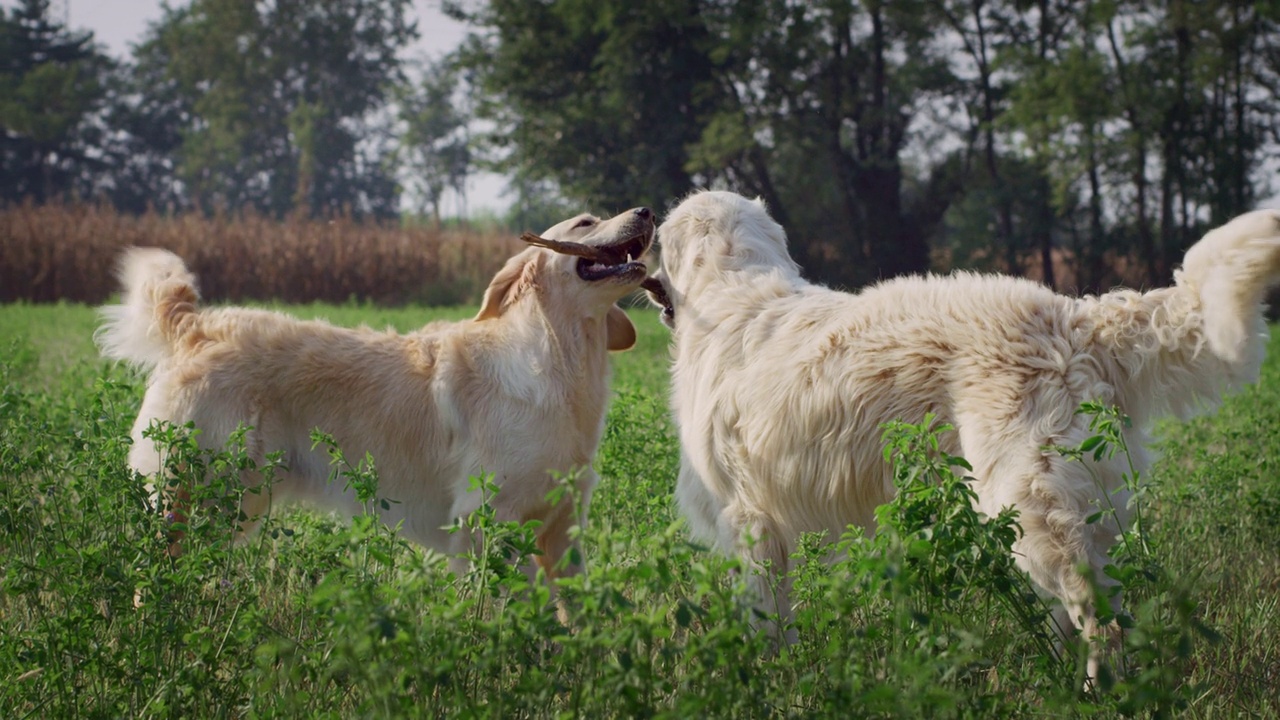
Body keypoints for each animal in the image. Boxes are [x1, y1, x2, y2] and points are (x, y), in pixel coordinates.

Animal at [97, 203, 660, 584]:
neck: (560, 358)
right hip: (199, 497)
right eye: (585, 222)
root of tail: (196, 326)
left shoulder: (564, 529)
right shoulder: (488, 524)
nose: (647, 211)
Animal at [645, 189, 1280, 650]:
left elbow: (767, 623)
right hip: (1081, 508)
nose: (643, 222)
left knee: (1098, 617)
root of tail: (1075, 317)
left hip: (1029, 510)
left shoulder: (749, 520)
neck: (731, 287)